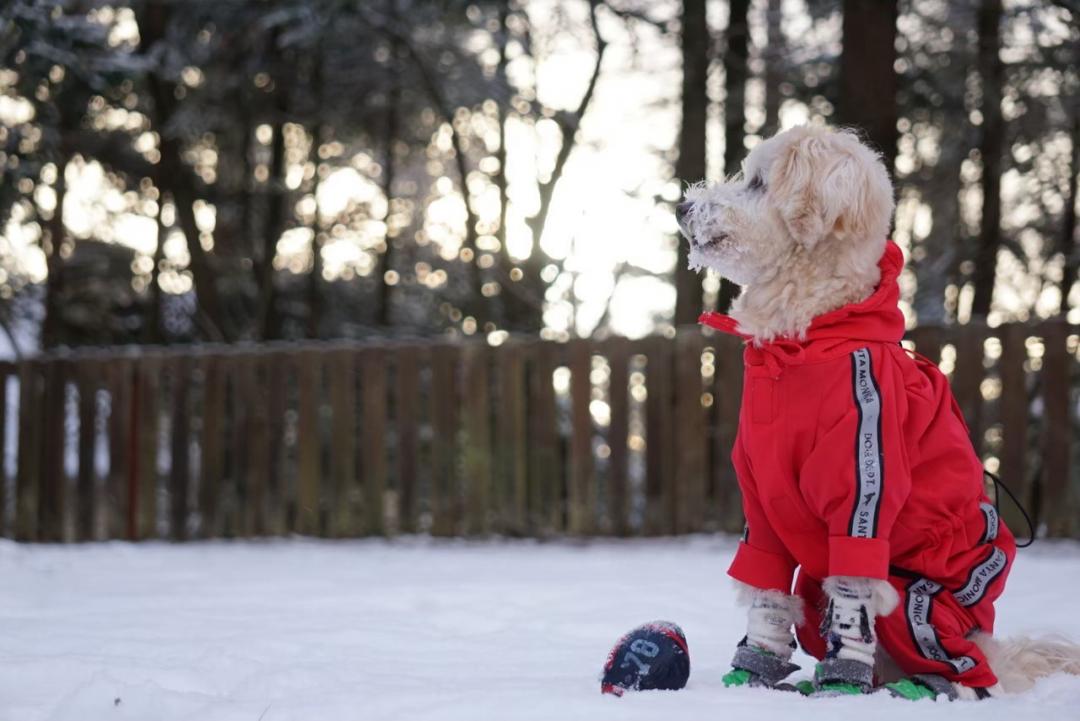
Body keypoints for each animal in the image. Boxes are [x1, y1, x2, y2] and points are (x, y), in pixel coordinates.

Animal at [673, 124, 1080, 699]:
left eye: (756, 182)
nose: (682, 206)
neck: (803, 342)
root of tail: (987, 642)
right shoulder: (762, 503)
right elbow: (767, 595)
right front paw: (749, 680)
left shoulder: (863, 489)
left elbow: (852, 597)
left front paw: (840, 690)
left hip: (922, 600)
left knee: (965, 675)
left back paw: (916, 688)